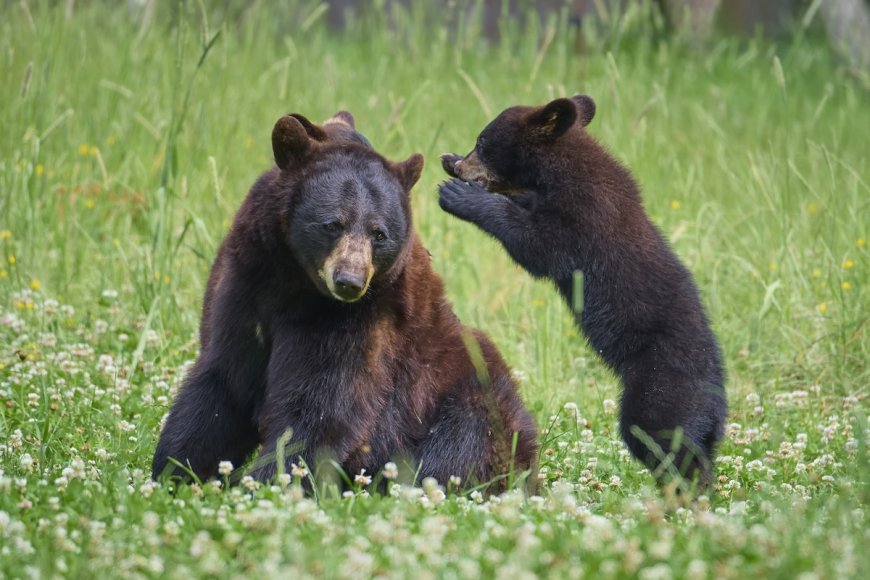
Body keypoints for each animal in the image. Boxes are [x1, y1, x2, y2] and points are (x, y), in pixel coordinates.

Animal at [151, 110, 537, 492]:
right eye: (333, 224)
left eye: (379, 233)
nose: (349, 281)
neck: (293, 283)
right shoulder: (246, 283)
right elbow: (222, 382)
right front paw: (176, 471)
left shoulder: (361, 321)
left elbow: (321, 406)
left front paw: (270, 482)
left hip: (465, 391)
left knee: (463, 440)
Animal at [437, 95, 726, 488]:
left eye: (483, 142)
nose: (455, 165)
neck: (558, 173)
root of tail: (716, 396)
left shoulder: (583, 216)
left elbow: (537, 245)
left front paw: (460, 197)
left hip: (661, 391)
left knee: (663, 441)